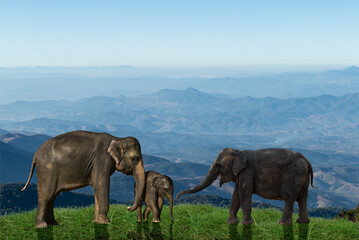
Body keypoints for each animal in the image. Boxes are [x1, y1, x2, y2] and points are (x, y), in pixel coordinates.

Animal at [177, 148, 316, 225]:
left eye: (218, 164)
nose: (177, 196)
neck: (239, 151)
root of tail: (307, 161)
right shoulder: (241, 175)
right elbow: (236, 195)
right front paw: (231, 223)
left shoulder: (247, 173)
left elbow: (244, 193)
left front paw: (246, 224)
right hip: (303, 179)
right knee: (303, 198)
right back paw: (303, 222)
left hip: (294, 177)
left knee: (289, 198)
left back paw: (283, 224)